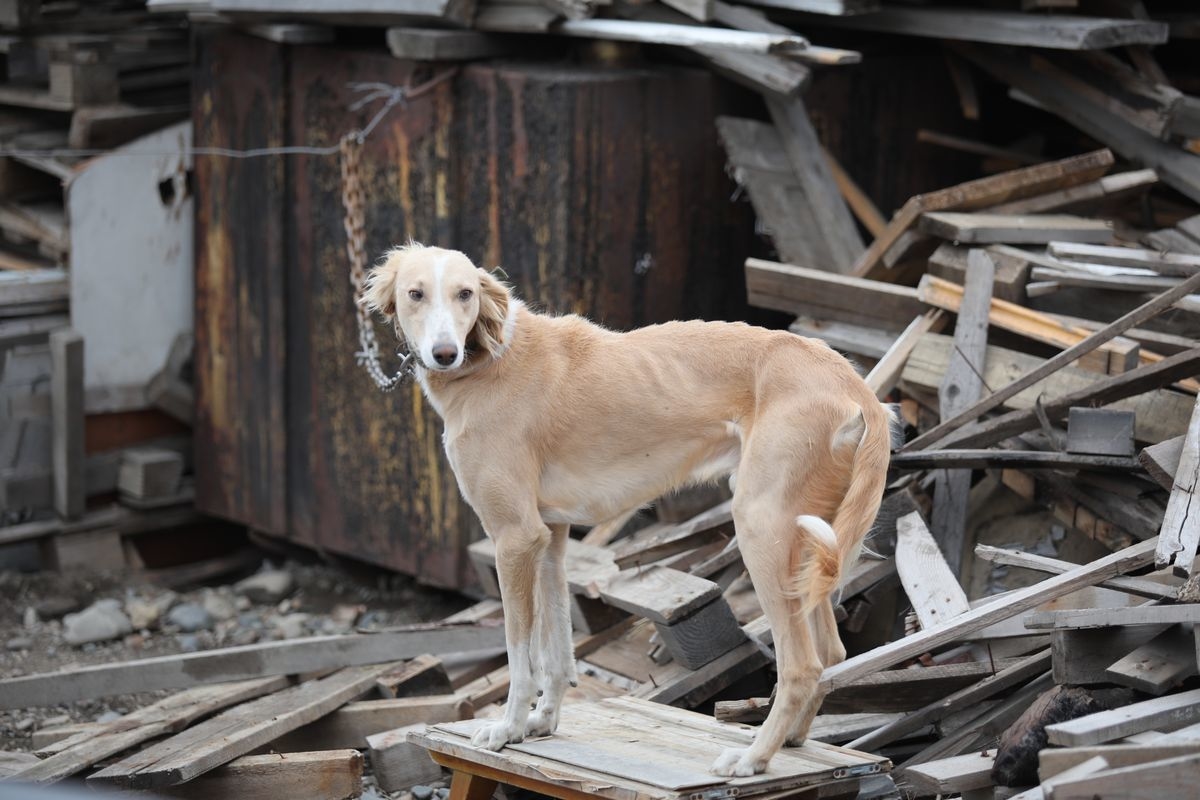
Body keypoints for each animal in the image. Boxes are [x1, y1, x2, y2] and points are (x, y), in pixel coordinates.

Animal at [362, 242, 892, 777]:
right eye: (415, 294)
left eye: (465, 293)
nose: (444, 354)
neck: (492, 359)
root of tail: (854, 384)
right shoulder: (548, 539)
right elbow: (556, 649)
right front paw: (541, 722)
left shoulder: (514, 537)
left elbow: (519, 654)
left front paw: (507, 729)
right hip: (804, 546)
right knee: (832, 650)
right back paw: (794, 740)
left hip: (762, 530)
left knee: (802, 665)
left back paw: (752, 758)